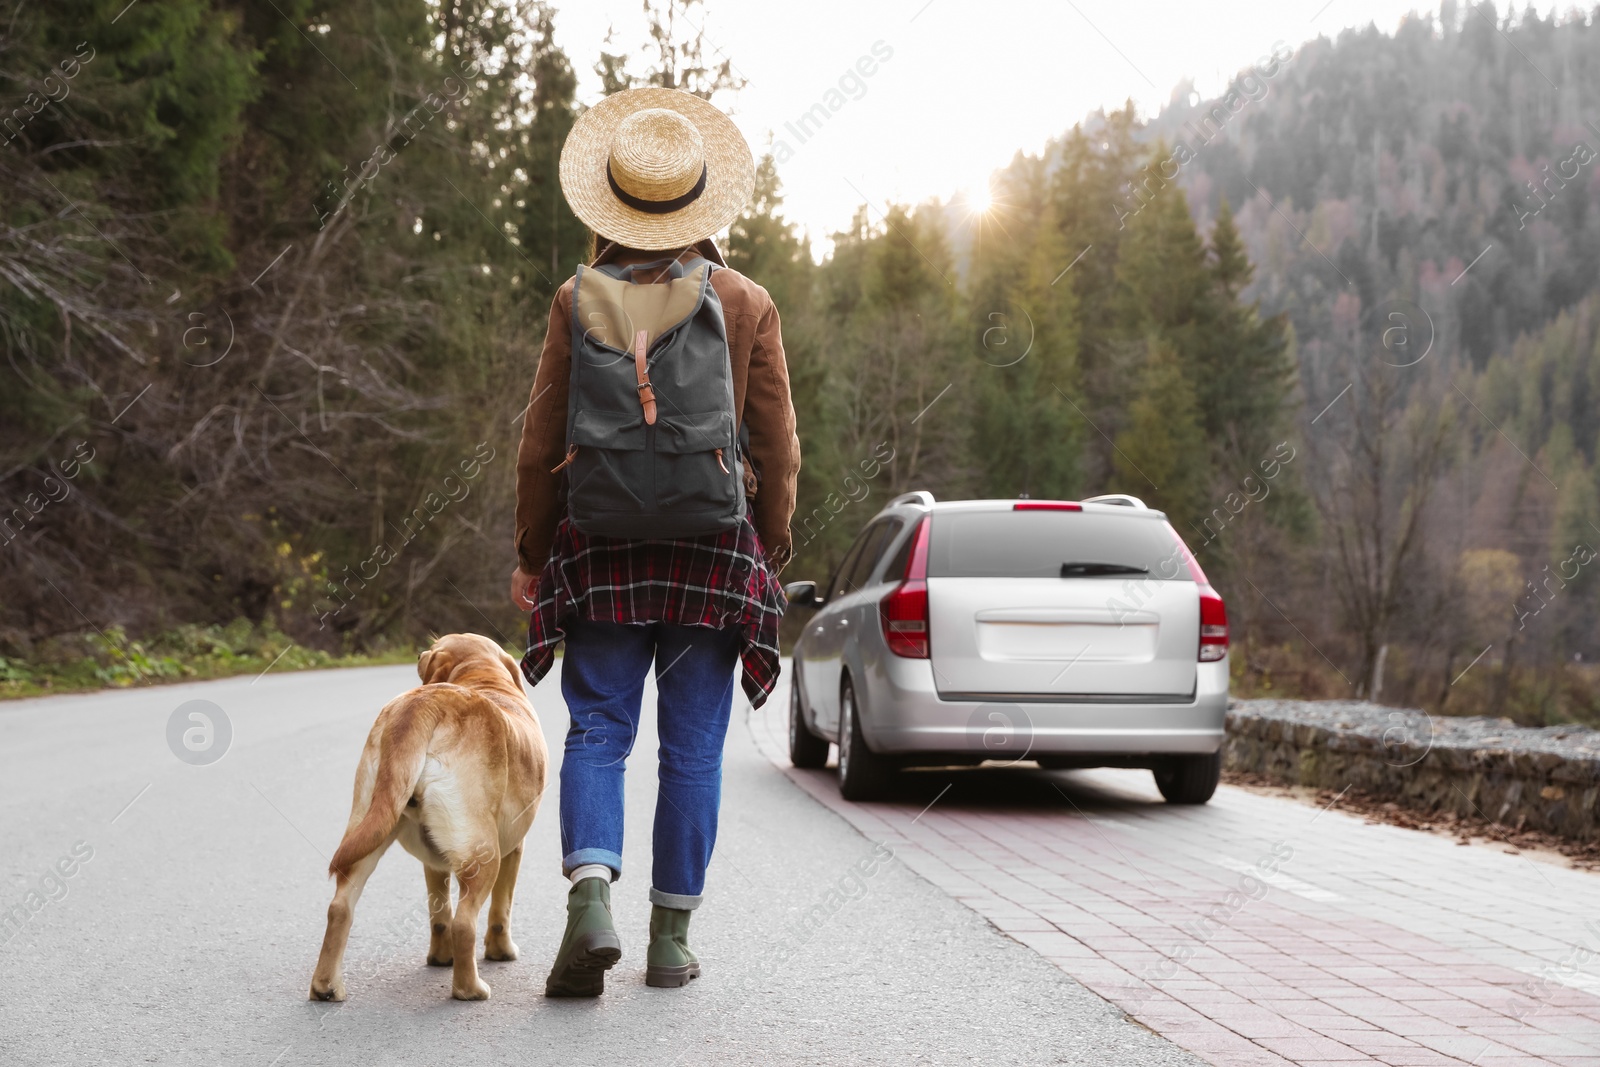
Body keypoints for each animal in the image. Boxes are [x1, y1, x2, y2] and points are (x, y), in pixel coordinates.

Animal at [310, 633, 550, 1004]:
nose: (420, 653)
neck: (481, 677)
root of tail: (425, 704)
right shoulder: (515, 849)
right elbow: (501, 910)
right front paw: (501, 951)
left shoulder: (434, 863)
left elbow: (439, 915)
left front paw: (440, 958)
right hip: (485, 854)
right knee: (465, 922)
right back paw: (470, 989)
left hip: (367, 828)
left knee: (340, 907)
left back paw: (325, 986)